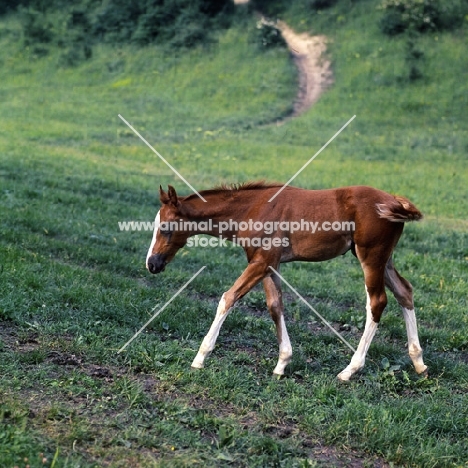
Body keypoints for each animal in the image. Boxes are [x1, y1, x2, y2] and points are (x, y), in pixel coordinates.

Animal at [146, 183, 428, 380]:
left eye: (165, 228)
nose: (152, 264)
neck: (251, 209)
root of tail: (394, 200)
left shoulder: (261, 262)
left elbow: (228, 298)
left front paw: (200, 357)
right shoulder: (270, 264)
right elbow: (275, 306)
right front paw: (282, 363)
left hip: (370, 257)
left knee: (377, 302)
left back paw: (350, 370)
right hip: (384, 259)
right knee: (404, 291)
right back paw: (419, 362)